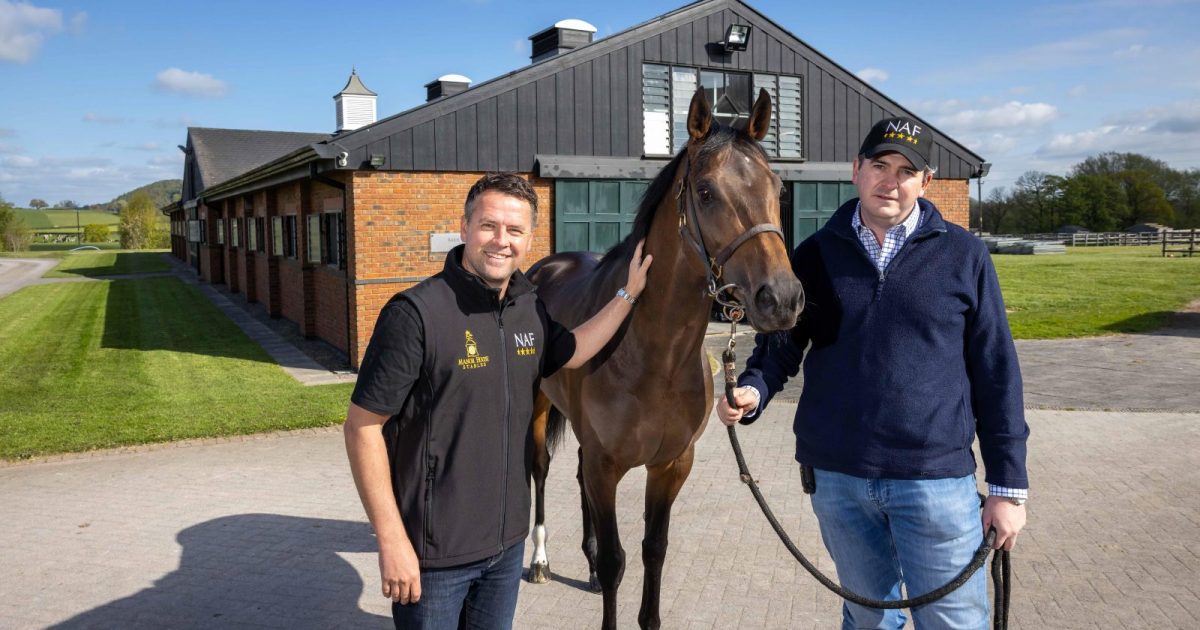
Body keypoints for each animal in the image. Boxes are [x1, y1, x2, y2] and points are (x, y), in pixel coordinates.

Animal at [525, 87, 805, 629]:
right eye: (706, 192)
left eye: (778, 187)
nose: (781, 299)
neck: (655, 357)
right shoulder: (608, 467)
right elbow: (619, 561)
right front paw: (601, 571)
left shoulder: (671, 466)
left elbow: (653, 550)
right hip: (538, 411)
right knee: (542, 471)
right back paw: (542, 561)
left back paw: (586, 565)